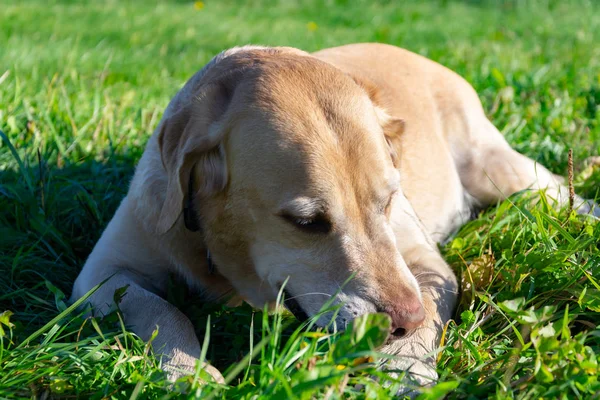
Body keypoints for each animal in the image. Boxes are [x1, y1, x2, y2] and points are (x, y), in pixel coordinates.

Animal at [69, 43, 596, 388]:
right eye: (306, 223)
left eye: (388, 201)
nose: (401, 319)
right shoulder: (102, 276)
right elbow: (162, 310)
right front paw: (189, 373)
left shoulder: (426, 268)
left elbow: (426, 318)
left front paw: (403, 371)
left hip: (502, 171)